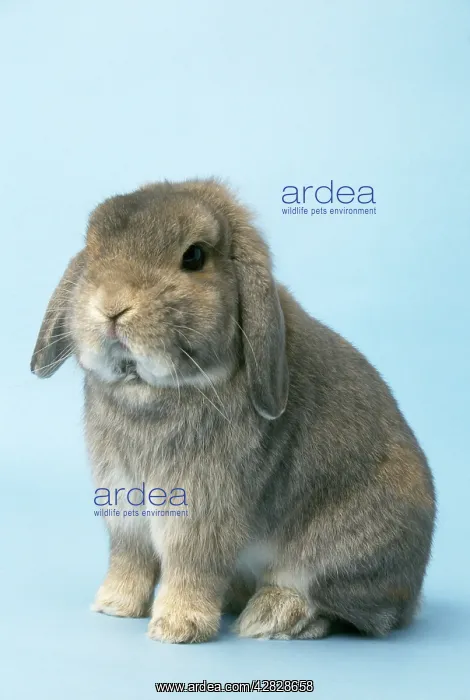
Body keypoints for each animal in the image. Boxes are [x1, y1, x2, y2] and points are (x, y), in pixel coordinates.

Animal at [30, 179, 436, 643]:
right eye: (93, 249)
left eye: (194, 256)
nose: (112, 305)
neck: (150, 390)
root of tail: (414, 589)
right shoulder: (125, 503)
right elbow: (130, 557)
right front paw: (114, 606)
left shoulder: (201, 510)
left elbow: (191, 566)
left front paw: (177, 628)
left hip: (343, 554)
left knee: (343, 609)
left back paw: (274, 616)